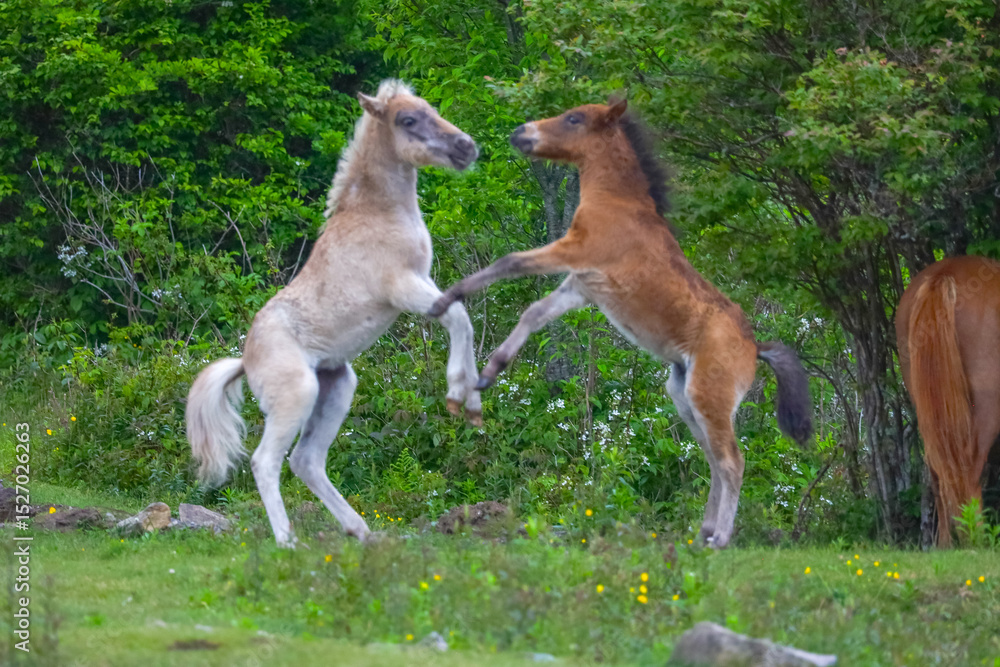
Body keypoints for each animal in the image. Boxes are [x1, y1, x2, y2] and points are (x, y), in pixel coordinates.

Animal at [186, 80, 483, 547]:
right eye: (408, 119)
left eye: (431, 109)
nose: (465, 147)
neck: (378, 212)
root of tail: (245, 360)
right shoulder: (403, 288)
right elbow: (458, 319)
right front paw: (459, 392)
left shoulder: (425, 282)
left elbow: (461, 315)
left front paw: (472, 398)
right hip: (297, 396)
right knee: (265, 461)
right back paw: (288, 541)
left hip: (338, 387)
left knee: (305, 460)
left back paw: (359, 530)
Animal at [430, 99, 813, 548]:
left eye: (574, 118)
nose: (520, 132)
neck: (617, 201)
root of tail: (756, 347)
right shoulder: (581, 285)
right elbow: (534, 312)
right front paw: (489, 372)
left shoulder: (575, 252)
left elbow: (508, 263)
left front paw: (445, 299)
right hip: (683, 395)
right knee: (714, 458)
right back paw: (702, 533)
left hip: (709, 397)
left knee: (732, 460)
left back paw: (719, 538)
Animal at [895, 255, 1000, 547]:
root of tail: (943, 275)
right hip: (987, 405)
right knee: (968, 467)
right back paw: (975, 538)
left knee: (937, 469)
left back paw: (945, 543)